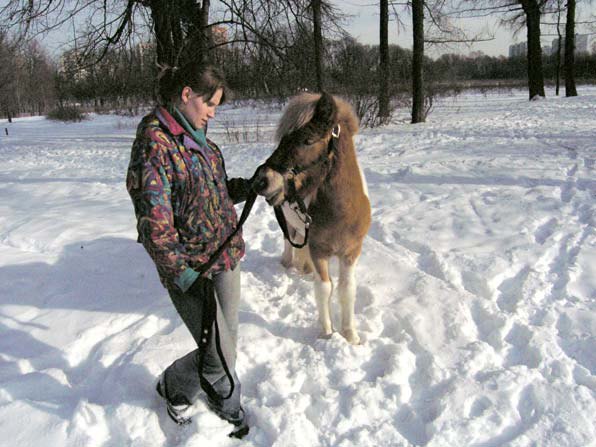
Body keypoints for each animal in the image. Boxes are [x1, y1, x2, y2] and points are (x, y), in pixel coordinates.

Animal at [254, 92, 370, 346]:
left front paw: (350, 335)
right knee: (289, 241)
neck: (342, 212)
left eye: (307, 140)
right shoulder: (319, 250)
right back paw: (288, 263)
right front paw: (327, 332)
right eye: (283, 138)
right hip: (288, 223)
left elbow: (347, 290)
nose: (262, 181)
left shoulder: (351, 252)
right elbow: (324, 288)